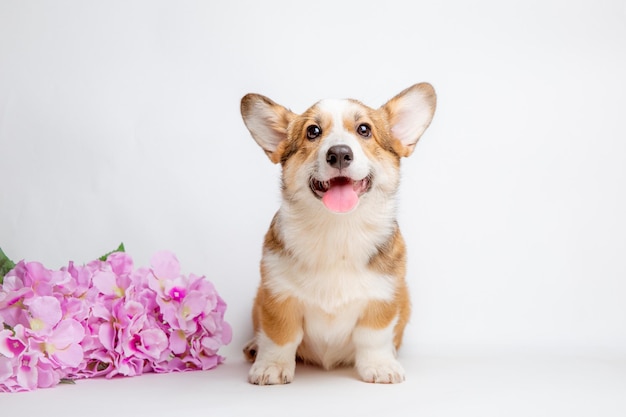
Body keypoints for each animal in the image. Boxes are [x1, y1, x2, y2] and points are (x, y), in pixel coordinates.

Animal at [238, 83, 434, 386]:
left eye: (364, 130)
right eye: (313, 131)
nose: (340, 153)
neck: (338, 228)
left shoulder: (384, 297)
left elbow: (373, 337)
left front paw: (379, 366)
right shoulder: (277, 295)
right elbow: (281, 336)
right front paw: (271, 366)